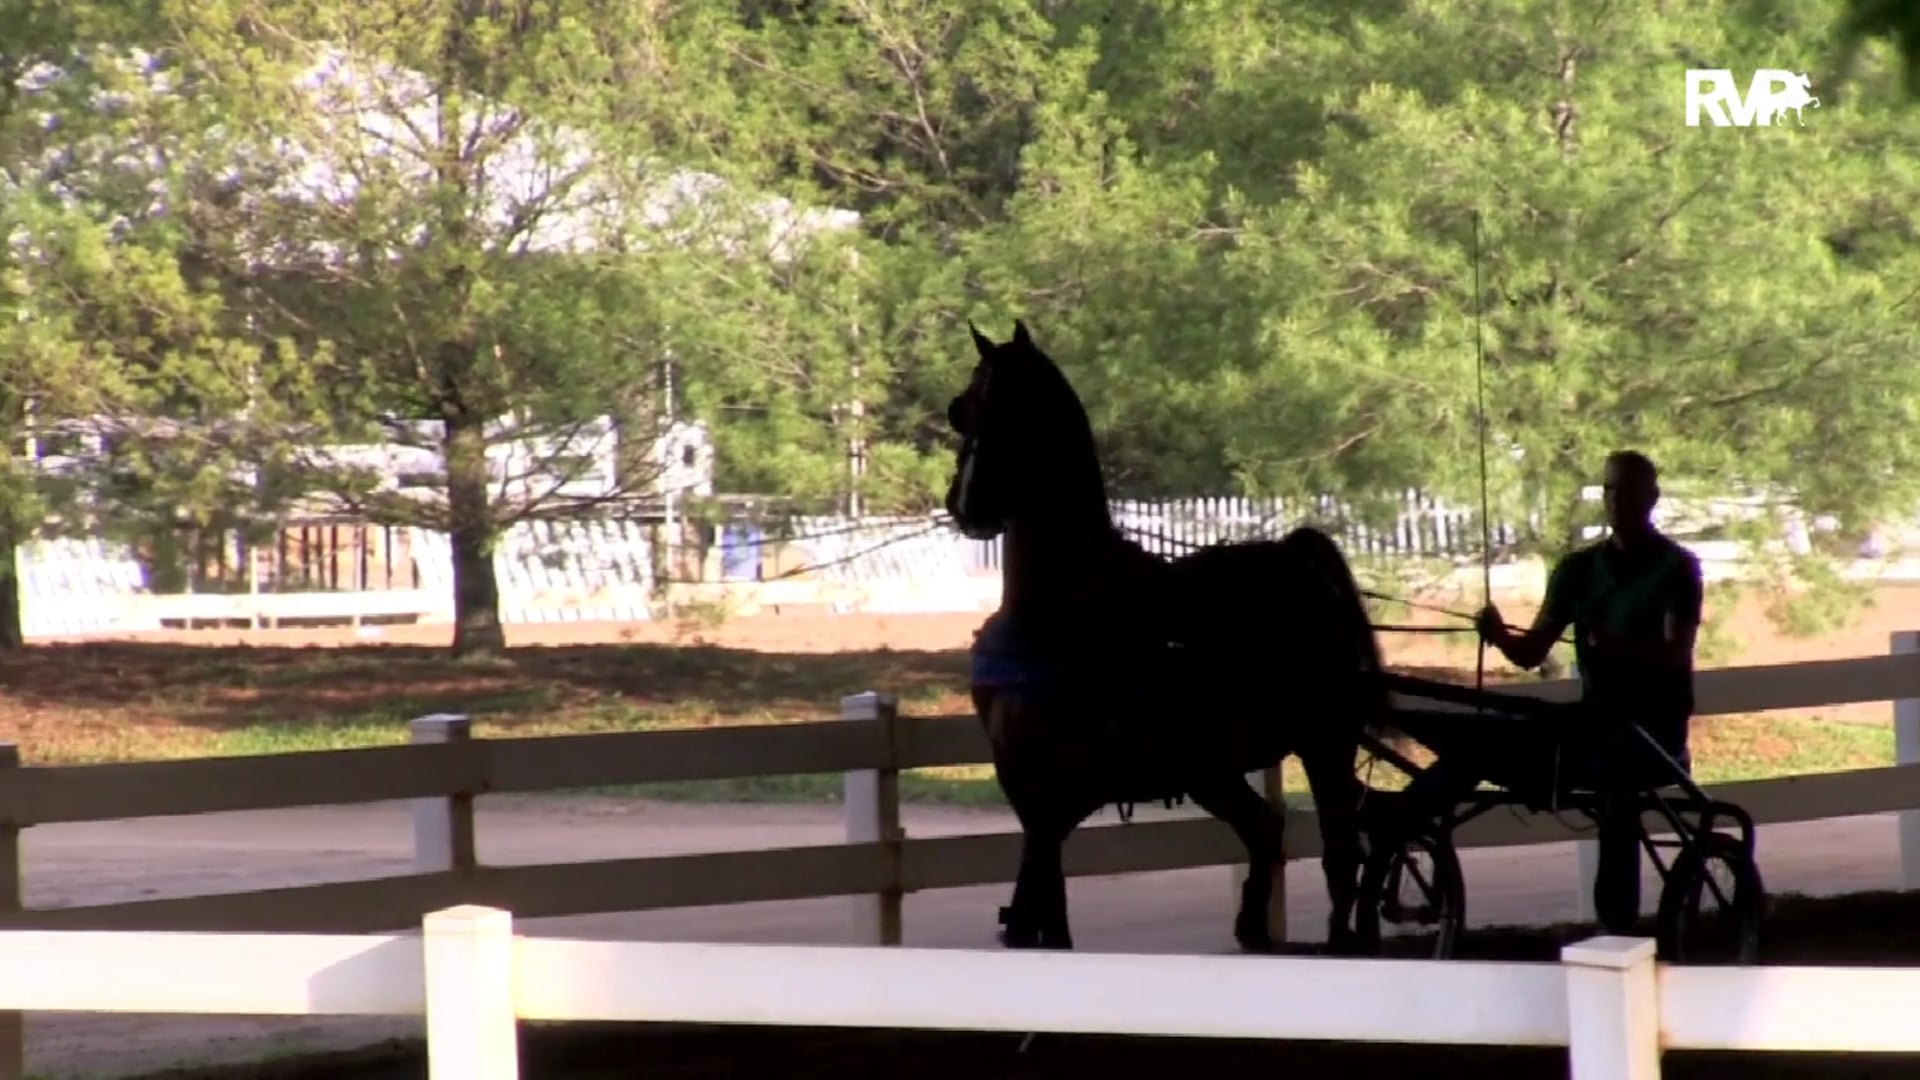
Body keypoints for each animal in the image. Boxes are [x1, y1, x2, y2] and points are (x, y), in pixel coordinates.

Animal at [945, 318, 1397, 954]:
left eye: (1004, 407)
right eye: (963, 412)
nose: (966, 506)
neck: (1065, 608)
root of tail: (1292, 557)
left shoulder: (1051, 792)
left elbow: (1042, 913)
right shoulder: (1032, 791)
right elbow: (1040, 912)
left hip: (1323, 742)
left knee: (1339, 849)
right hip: (1215, 769)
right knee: (1268, 830)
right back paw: (1255, 929)